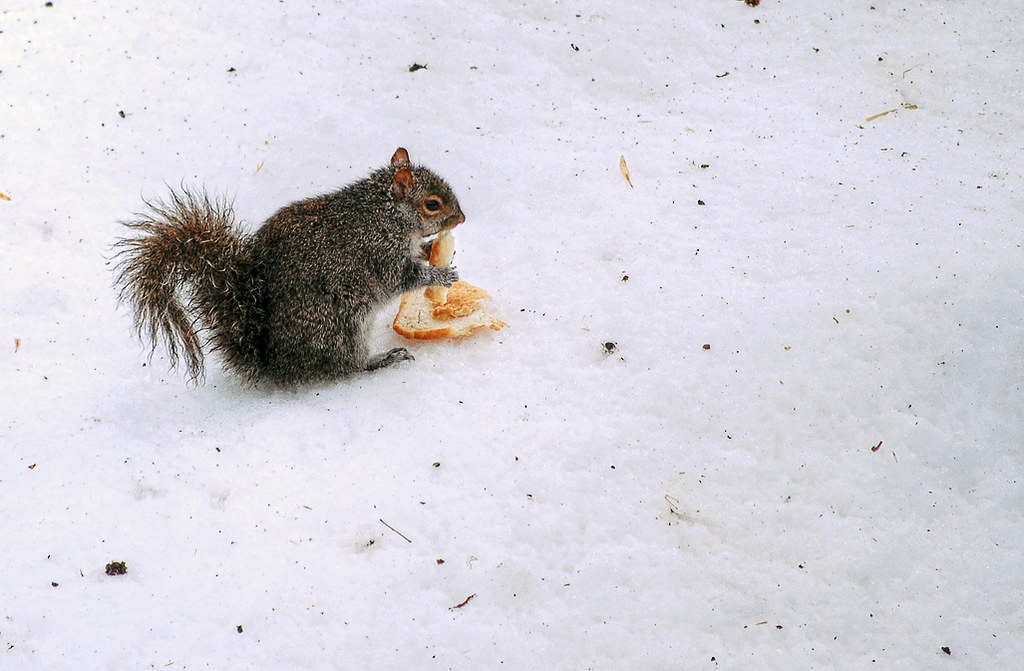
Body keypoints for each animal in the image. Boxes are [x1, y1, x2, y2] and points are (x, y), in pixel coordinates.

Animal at [114, 147, 465, 387]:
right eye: (432, 204)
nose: (461, 219)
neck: (385, 212)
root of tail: (277, 364)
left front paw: (431, 249)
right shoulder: (378, 251)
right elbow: (402, 277)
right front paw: (440, 274)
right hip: (342, 327)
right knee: (347, 365)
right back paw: (382, 359)